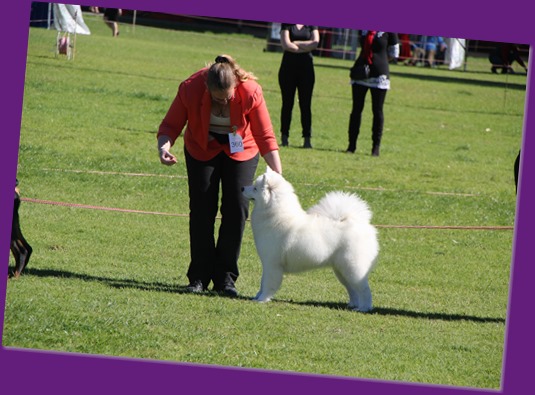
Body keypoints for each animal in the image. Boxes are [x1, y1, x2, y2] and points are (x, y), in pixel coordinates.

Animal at [243, 169, 382, 314]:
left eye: (255, 188)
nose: (242, 188)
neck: (275, 216)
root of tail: (363, 225)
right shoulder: (267, 263)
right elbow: (262, 281)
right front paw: (257, 296)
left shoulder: (272, 264)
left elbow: (268, 283)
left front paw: (262, 299)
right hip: (342, 270)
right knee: (353, 290)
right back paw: (353, 305)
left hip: (353, 268)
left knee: (364, 289)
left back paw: (364, 308)